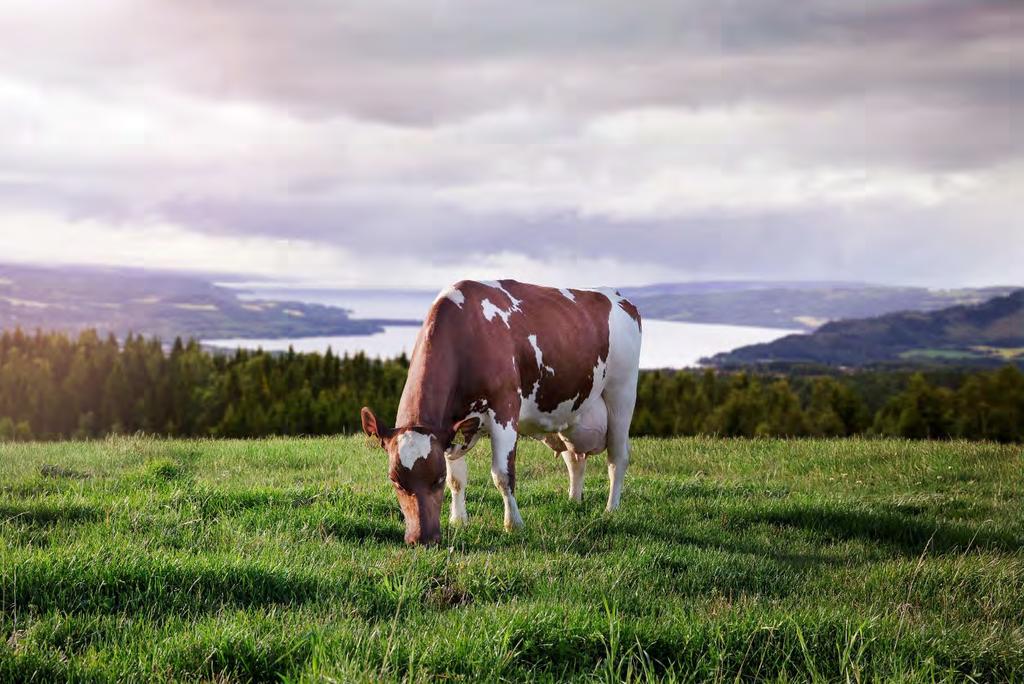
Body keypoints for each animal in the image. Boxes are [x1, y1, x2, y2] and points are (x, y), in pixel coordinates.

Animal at [360, 278, 638, 544]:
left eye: (436, 478)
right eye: (395, 481)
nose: (422, 539)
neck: (466, 335)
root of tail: (616, 295)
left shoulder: (505, 410)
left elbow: (503, 475)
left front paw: (513, 524)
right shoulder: (451, 428)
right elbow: (457, 478)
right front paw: (458, 520)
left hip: (622, 393)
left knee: (618, 457)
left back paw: (611, 510)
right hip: (569, 413)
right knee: (575, 458)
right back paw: (573, 500)